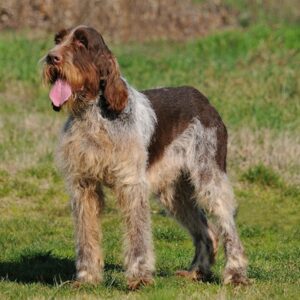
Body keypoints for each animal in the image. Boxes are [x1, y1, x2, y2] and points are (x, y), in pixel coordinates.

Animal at [42, 25, 248, 288]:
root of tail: (204, 100)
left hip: (209, 178)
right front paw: (87, 277)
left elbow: (137, 234)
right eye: (58, 40)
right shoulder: (83, 186)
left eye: (82, 43)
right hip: (174, 191)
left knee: (228, 227)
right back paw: (197, 271)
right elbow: (86, 236)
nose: (51, 57)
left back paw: (236, 274)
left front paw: (139, 277)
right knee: (208, 232)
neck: (94, 116)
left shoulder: (131, 183)